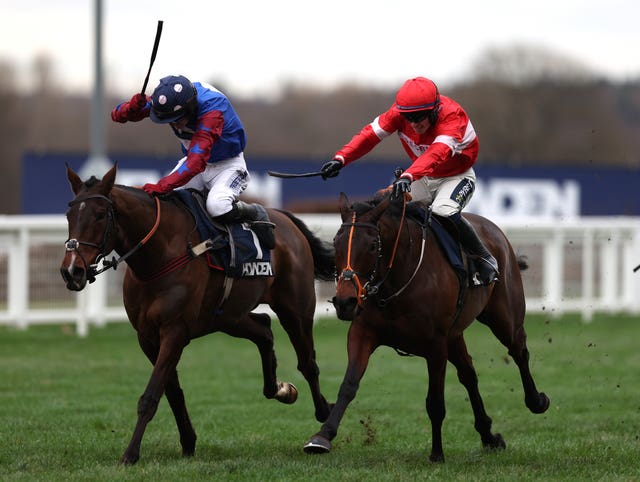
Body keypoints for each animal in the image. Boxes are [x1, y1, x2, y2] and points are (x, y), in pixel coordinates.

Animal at [304, 192, 552, 464]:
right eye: (336, 243)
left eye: (371, 246)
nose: (345, 302)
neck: (397, 278)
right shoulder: (362, 332)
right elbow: (348, 384)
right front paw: (322, 436)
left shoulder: (435, 345)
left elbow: (435, 402)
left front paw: (436, 453)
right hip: (455, 336)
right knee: (469, 375)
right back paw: (488, 435)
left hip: (504, 317)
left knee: (519, 352)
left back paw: (537, 401)